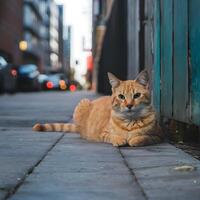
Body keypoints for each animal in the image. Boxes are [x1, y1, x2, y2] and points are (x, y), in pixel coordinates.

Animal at [32, 71, 163, 146]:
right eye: (121, 96)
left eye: (137, 95)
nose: (129, 105)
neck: (130, 124)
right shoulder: (103, 133)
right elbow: (112, 136)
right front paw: (119, 139)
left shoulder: (158, 136)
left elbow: (143, 138)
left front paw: (134, 140)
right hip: (83, 103)